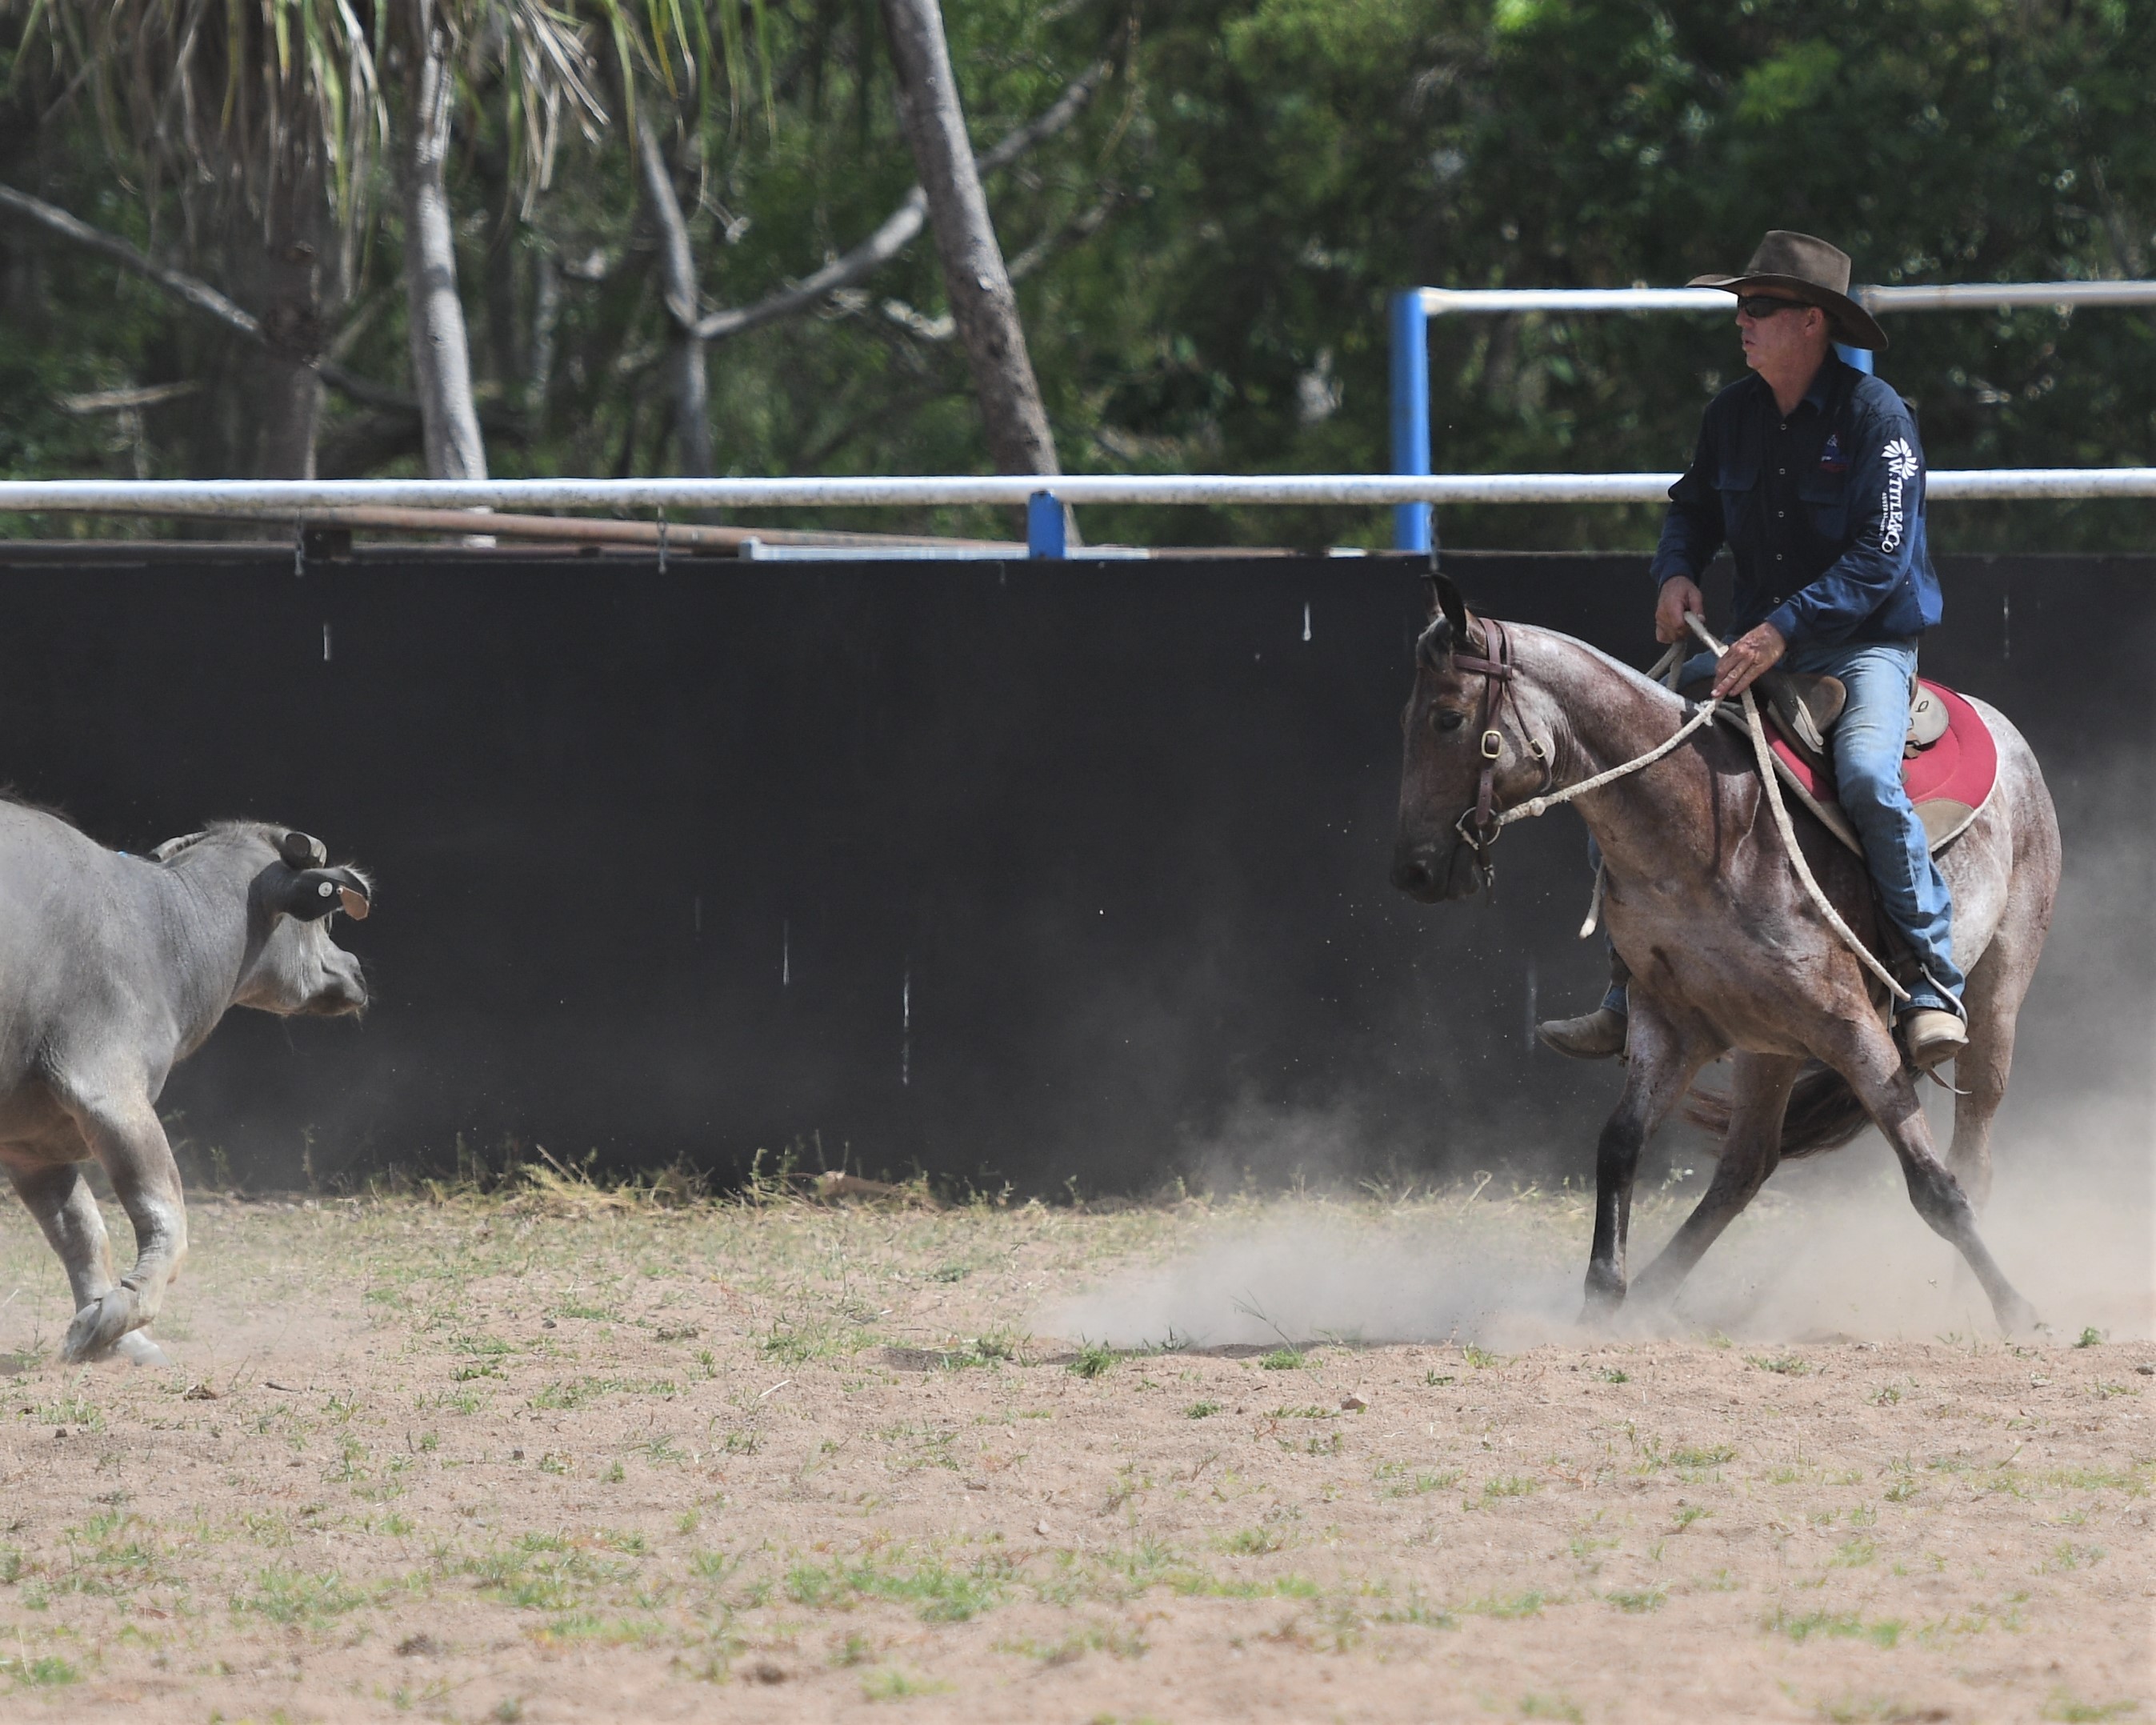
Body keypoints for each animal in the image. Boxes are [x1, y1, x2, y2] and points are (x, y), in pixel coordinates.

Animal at [0, 806, 371, 1364]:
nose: (355, 970)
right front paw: (116, 1316)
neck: (160, 933)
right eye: (322, 920)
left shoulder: (32, 1143)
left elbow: (82, 1233)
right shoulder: (110, 1092)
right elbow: (168, 1221)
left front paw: (116, 1336)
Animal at [1389, 576, 2059, 1336]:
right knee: (1745, 1165)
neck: (1710, 828)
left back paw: (1961, 1302)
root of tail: (2000, 730)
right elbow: (1619, 1144)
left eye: (1447, 718)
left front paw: (2017, 1309)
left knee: (1969, 1159)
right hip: (1769, 1045)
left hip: (1994, 998)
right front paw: (1601, 1296)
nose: (1412, 869)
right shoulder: (1671, 1022)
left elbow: (1932, 1184)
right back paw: (1655, 1292)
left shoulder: (1850, 1024)